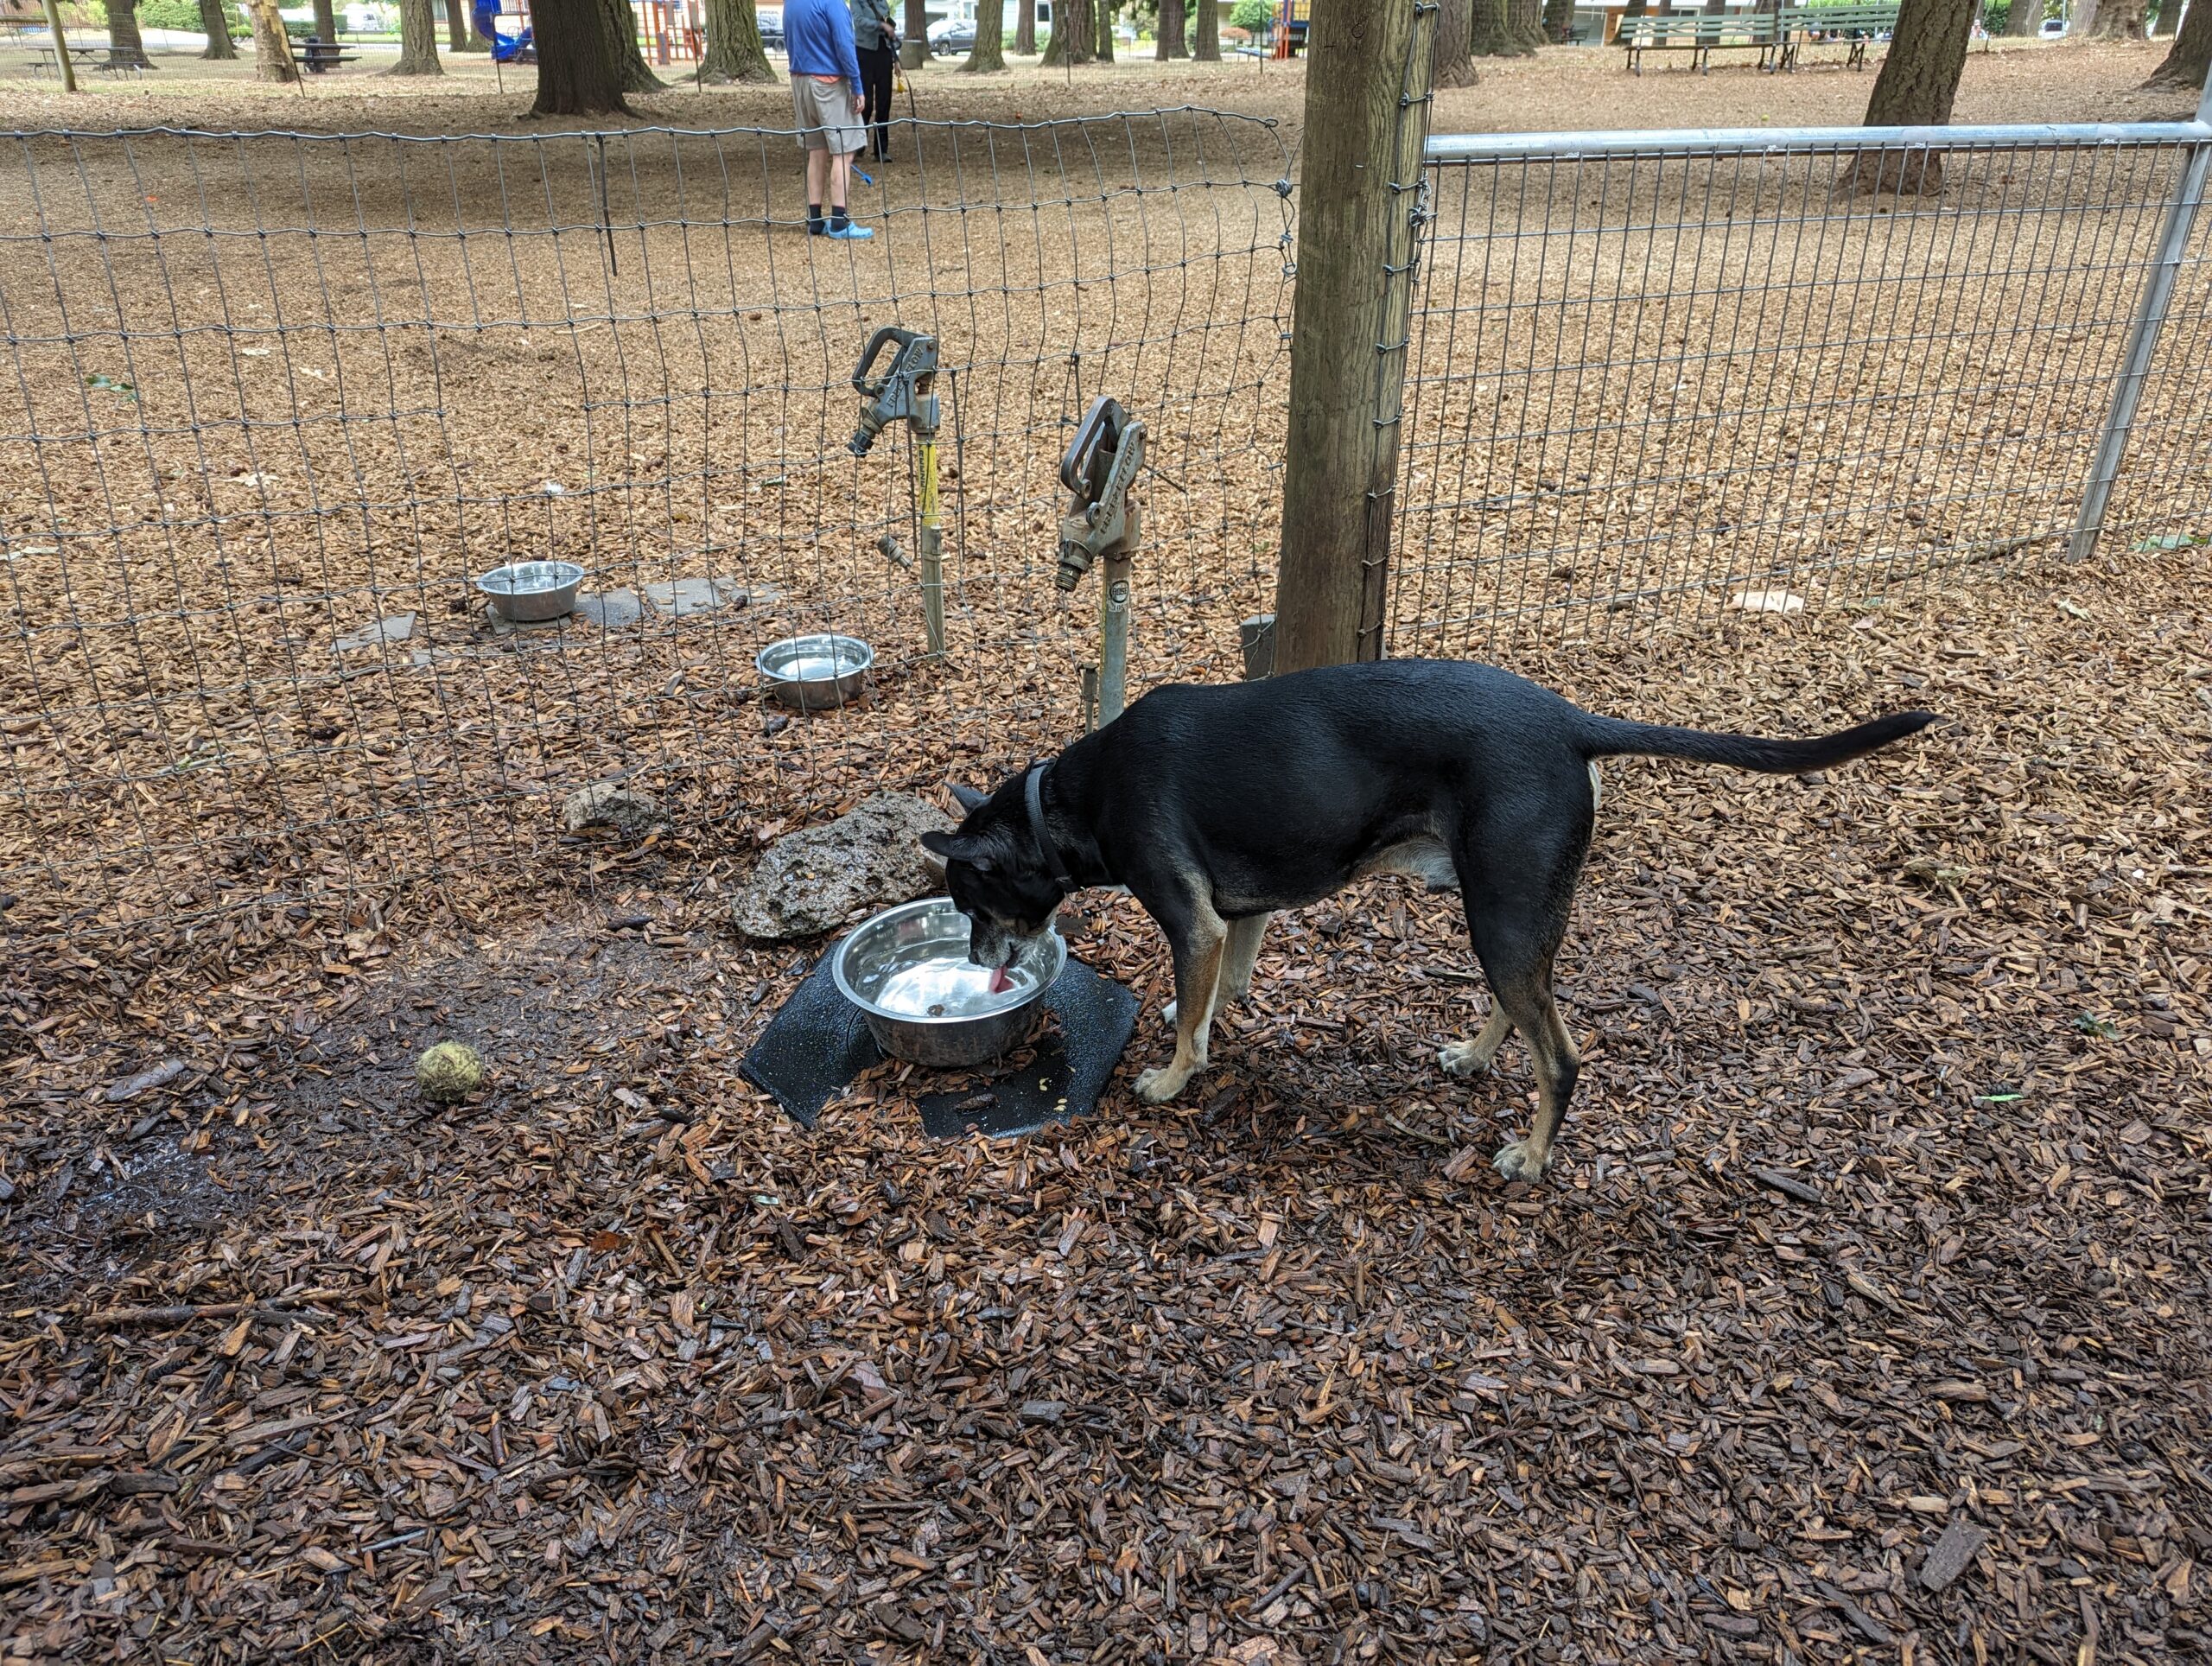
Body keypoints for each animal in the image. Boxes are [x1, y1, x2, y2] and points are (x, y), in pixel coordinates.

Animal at [925, 654, 1929, 1177]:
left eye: (970, 902)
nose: (975, 963)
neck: (1069, 803)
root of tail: (1571, 722)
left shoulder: (1192, 916)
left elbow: (1193, 1024)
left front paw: (1172, 1077)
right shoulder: (1237, 909)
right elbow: (1225, 985)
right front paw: (1196, 1013)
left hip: (1503, 910)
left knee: (1561, 1055)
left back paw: (1530, 1157)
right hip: (1510, 911)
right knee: (1526, 1010)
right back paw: (1475, 1058)